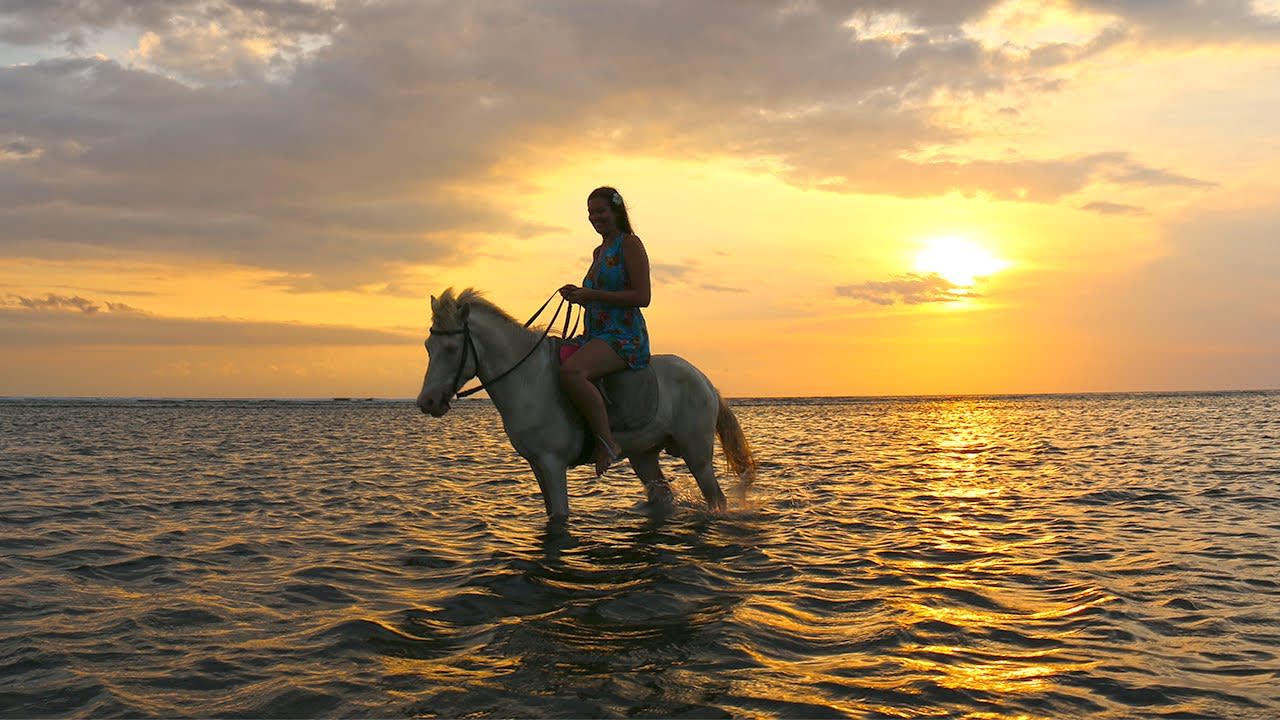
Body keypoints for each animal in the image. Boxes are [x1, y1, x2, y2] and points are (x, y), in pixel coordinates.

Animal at [417, 286, 757, 520]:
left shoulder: (552, 463)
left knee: (716, 498)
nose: (427, 401)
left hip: (696, 455)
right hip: (644, 455)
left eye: (451, 348)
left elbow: (561, 517)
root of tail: (706, 381)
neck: (526, 378)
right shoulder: (536, 465)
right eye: (428, 346)